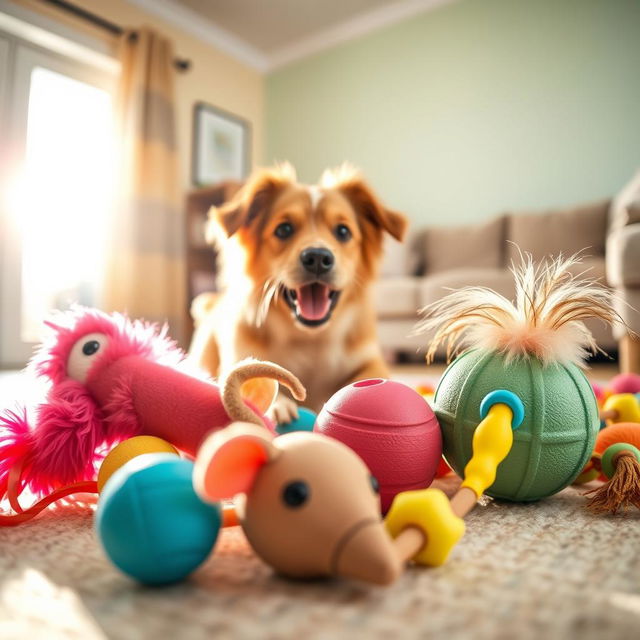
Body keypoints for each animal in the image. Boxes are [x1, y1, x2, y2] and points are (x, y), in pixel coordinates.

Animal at [190, 164, 408, 424]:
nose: (317, 257)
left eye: (343, 231)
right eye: (284, 229)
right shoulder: (239, 357)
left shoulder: (371, 359)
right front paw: (278, 405)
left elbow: (369, 378)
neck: (309, 339)